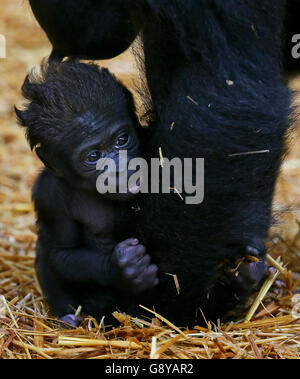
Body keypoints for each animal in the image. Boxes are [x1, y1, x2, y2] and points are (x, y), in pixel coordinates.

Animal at [16, 60, 158, 328]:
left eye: (122, 139)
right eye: (93, 156)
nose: (120, 168)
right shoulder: (49, 195)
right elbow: (61, 253)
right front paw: (121, 270)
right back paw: (67, 315)